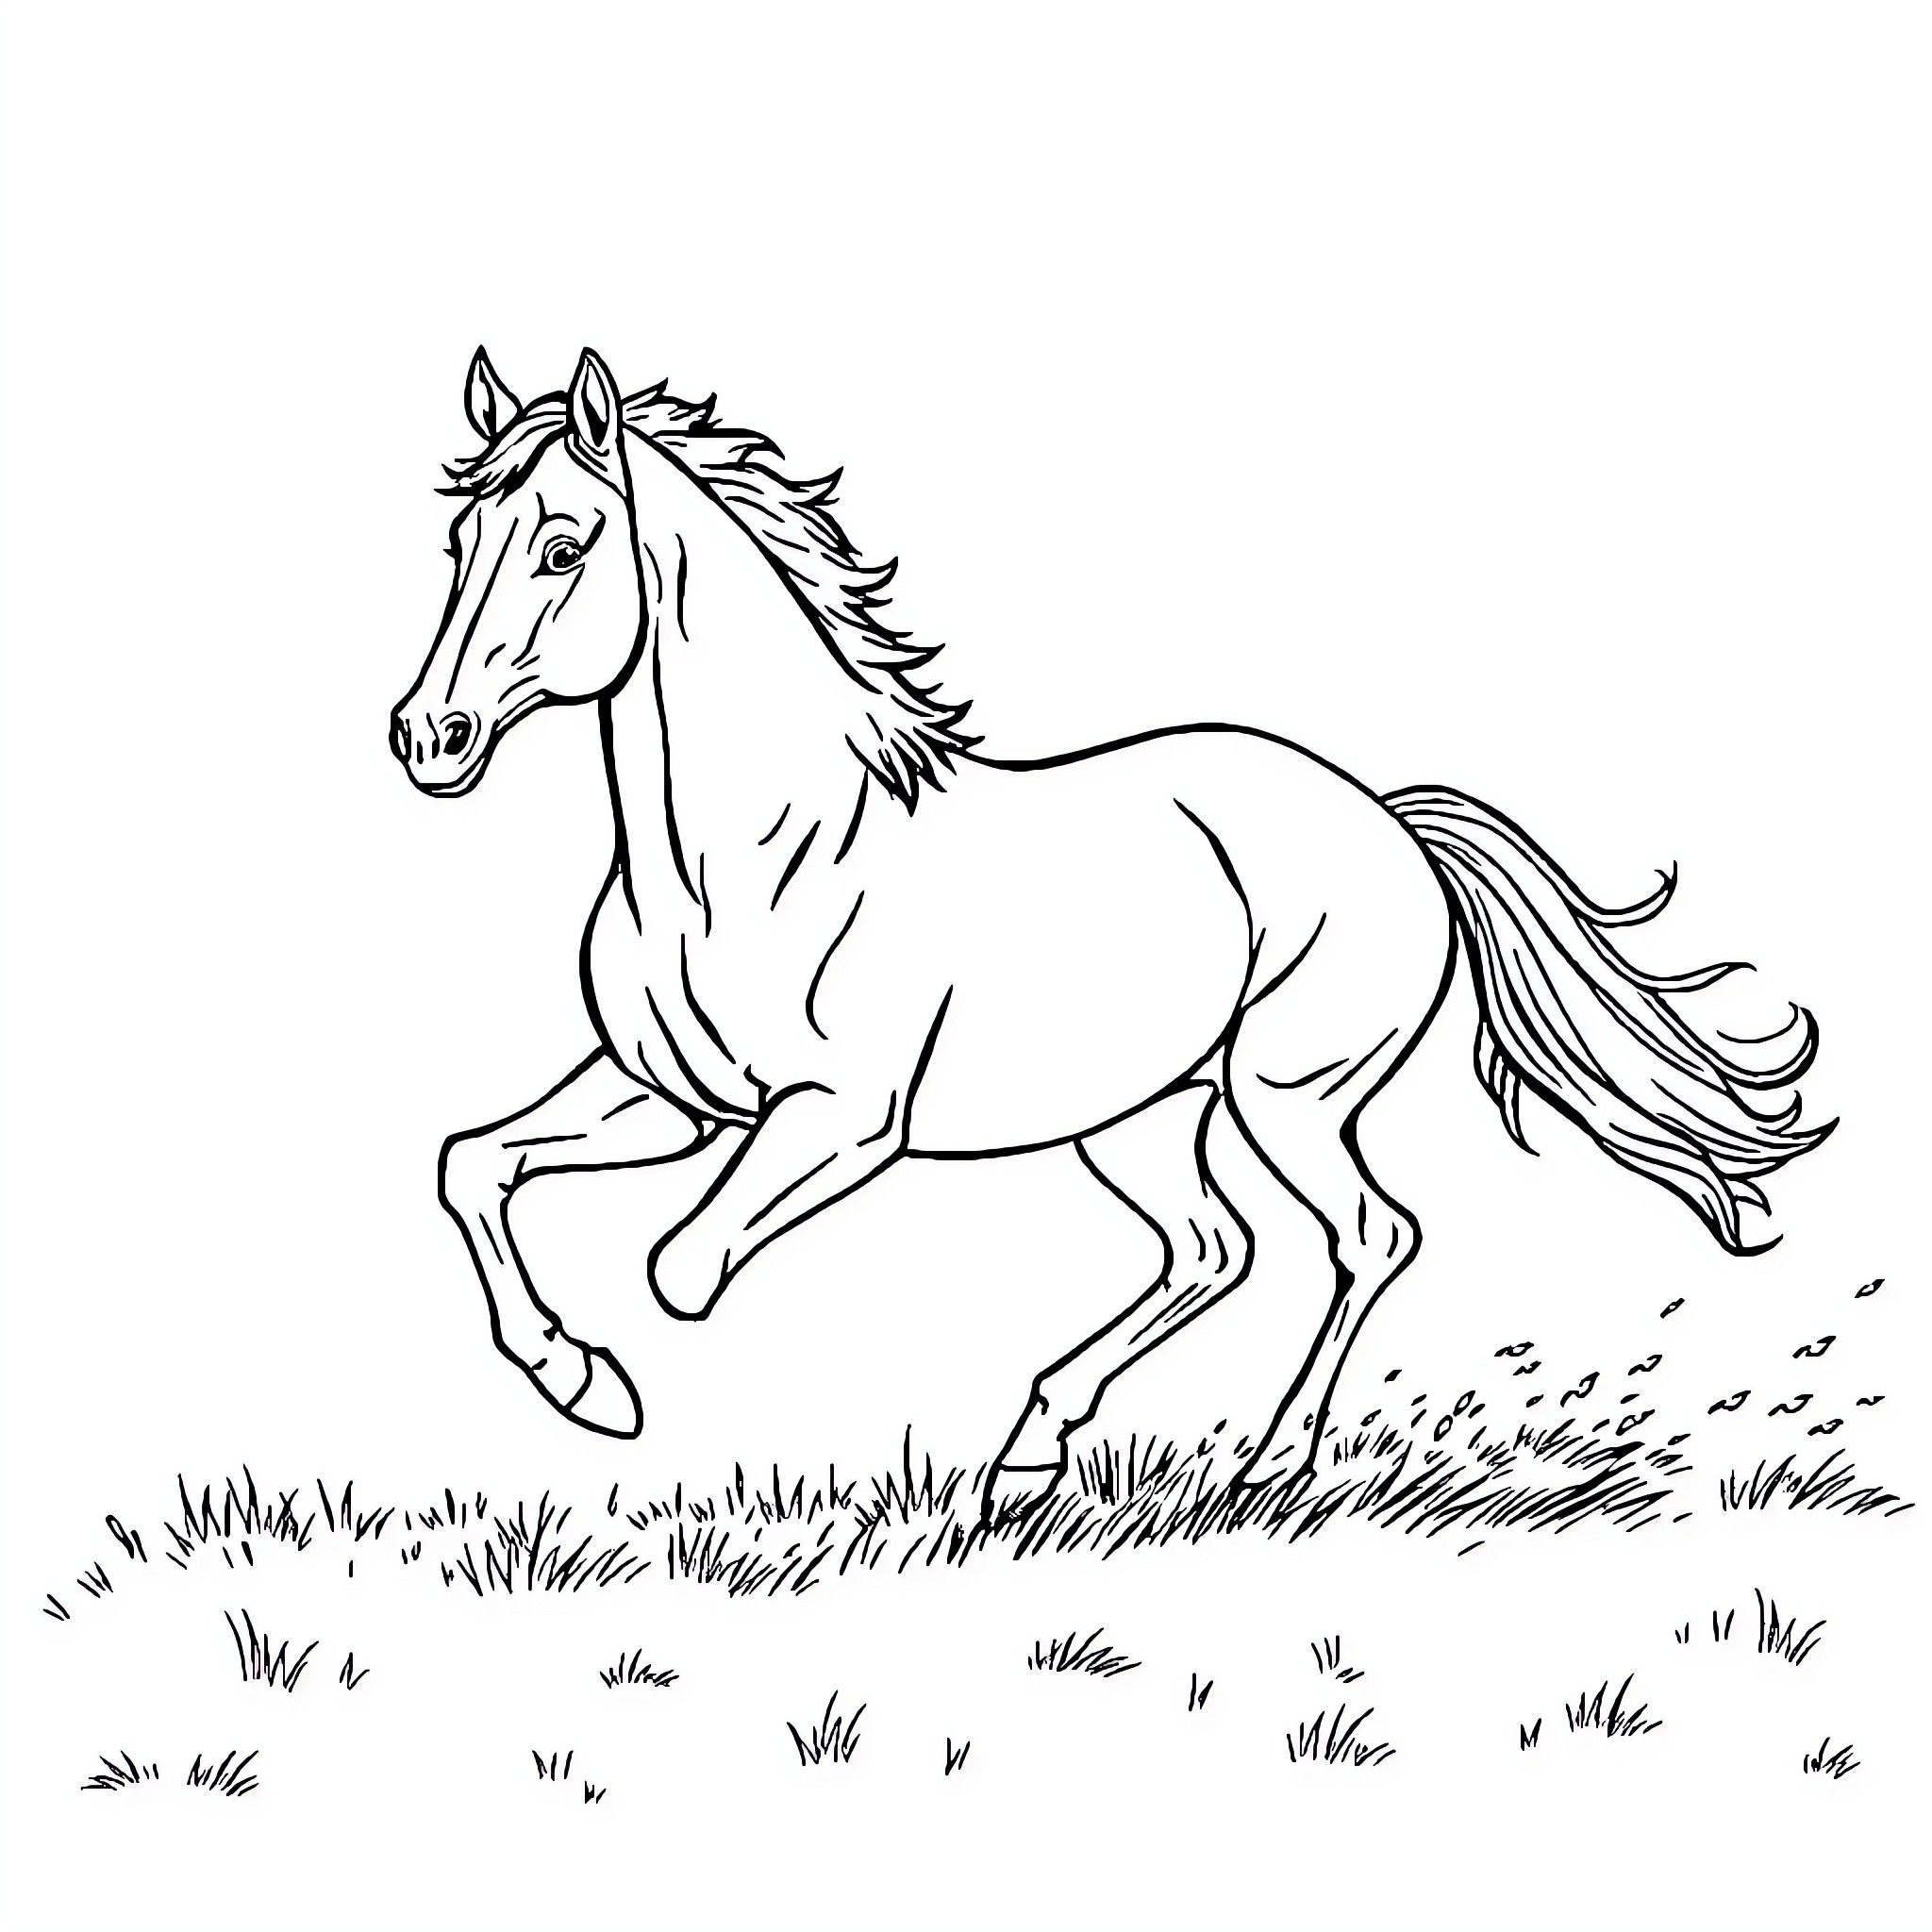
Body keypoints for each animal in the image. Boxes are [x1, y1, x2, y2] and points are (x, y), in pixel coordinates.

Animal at [390, 345, 1830, 1523]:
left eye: (564, 545)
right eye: (458, 545)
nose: (428, 737)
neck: (738, 860)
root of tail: (1388, 821)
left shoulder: (841, 1120)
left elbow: (677, 1268)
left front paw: (605, 1379)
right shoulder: (675, 1100)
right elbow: (473, 1166)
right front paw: (580, 1382)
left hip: (1286, 1093)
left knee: (1366, 1238)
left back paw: (1269, 1464)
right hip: (1139, 1114)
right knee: (1211, 1249)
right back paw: (1027, 1458)